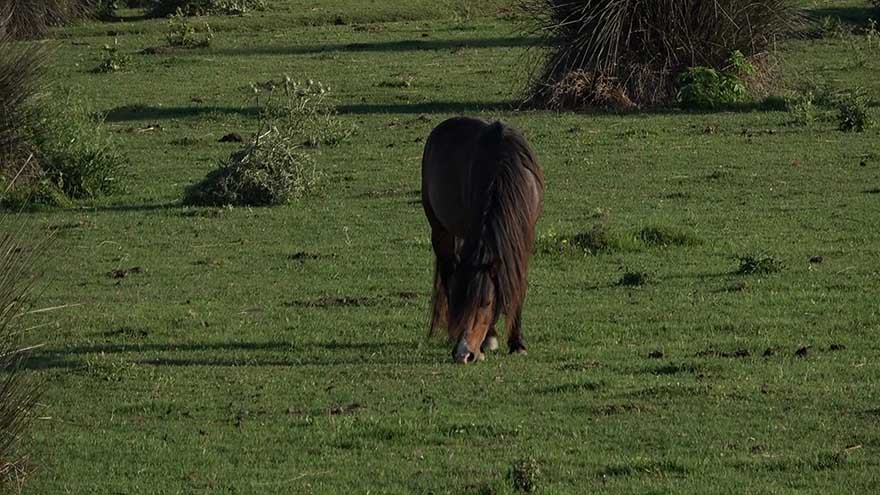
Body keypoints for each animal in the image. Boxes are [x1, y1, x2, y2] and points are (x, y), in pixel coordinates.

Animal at [422, 116, 544, 364]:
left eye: (487, 303)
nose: (463, 354)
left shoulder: (524, 239)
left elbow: (518, 284)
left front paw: (517, 343)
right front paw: (490, 338)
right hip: (440, 230)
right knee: (448, 271)